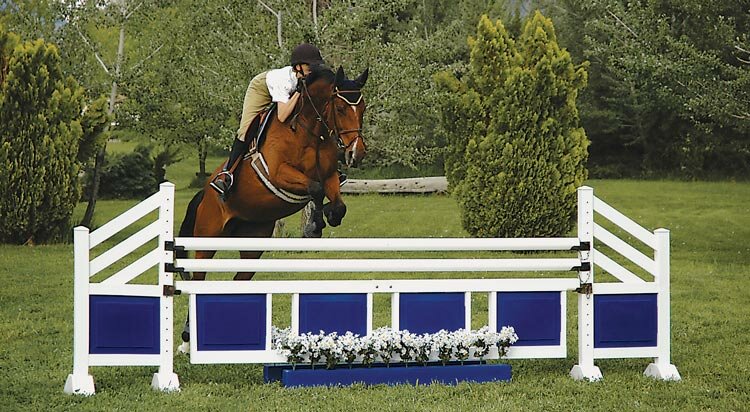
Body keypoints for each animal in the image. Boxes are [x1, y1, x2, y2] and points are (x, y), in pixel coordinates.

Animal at [176, 65, 368, 283]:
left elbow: (338, 204)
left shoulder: (329, 177)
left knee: (240, 276)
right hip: (207, 236)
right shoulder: (279, 174)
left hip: (253, 240)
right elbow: (316, 189)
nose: (357, 153)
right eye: (341, 109)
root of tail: (204, 193)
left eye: (363, 109)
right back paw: (223, 183)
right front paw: (315, 227)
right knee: (199, 274)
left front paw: (329, 216)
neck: (308, 131)